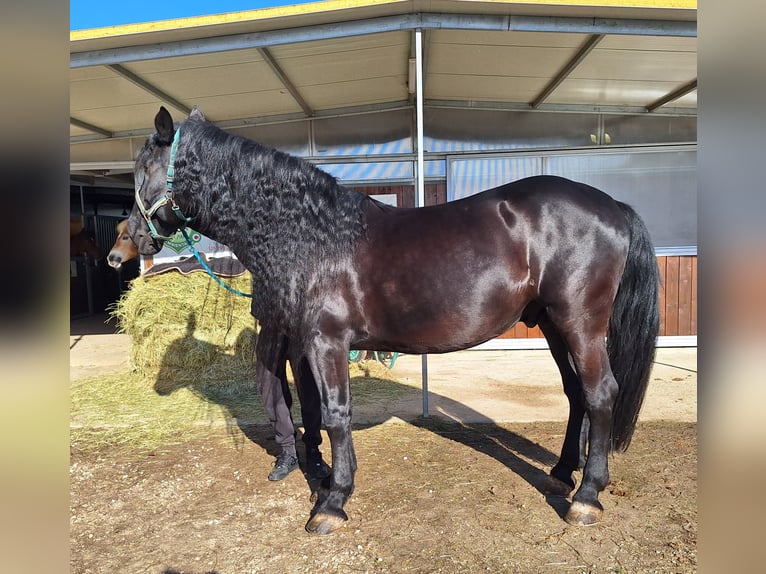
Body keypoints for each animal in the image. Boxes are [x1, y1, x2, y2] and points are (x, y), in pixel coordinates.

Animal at [129, 106, 664, 536]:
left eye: (143, 168)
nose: (133, 240)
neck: (313, 234)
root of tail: (613, 207)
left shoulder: (327, 342)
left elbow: (336, 415)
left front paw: (332, 503)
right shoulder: (308, 345)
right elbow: (316, 412)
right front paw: (324, 480)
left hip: (581, 323)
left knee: (599, 394)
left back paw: (586, 497)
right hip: (553, 324)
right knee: (576, 394)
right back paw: (560, 473)